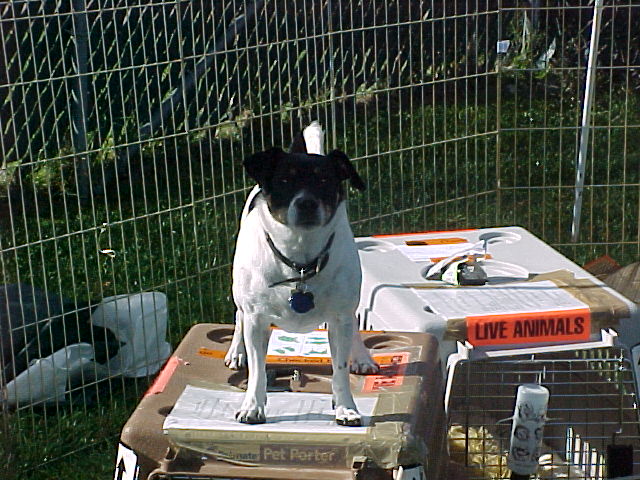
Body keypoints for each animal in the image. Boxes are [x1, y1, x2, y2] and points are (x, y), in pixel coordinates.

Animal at [225, 122, 378, 426]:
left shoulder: (339, 319)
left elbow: (340, 369)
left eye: (325, 181)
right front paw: (253, 406)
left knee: (353, 326)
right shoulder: (256, 321)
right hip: (240, 290)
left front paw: (346, 407)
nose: (306, 203)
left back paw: (361, 356)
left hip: (348, 304)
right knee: (238, 314)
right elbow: (258, 370)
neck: (300, 261)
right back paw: (236, 350)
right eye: (285, 181)